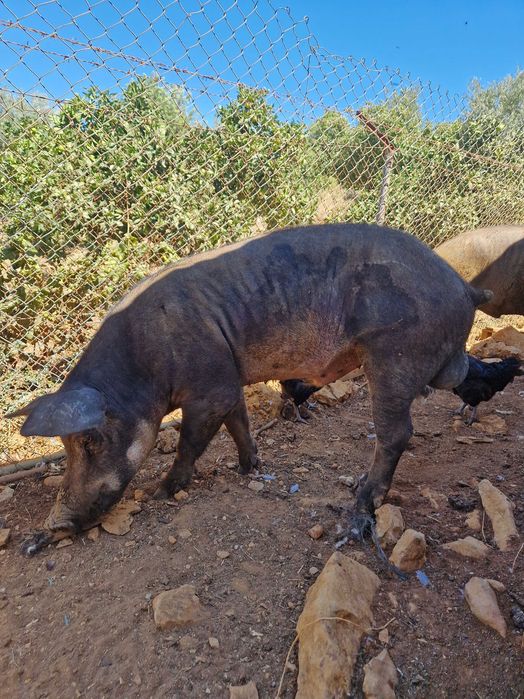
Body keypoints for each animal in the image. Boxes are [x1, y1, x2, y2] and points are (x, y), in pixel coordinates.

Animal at [8, 223, 492, 554]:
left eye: (90, 440)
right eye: (66, 445)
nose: (54, 524)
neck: (144, 364)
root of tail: (463, 287)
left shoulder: (209, 388)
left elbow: (190, 442)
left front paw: (159, 492)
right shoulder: (228, 377)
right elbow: (238, 421)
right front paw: (249, 467)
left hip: (393, 355)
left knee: (397, 433)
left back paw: (356, 515)